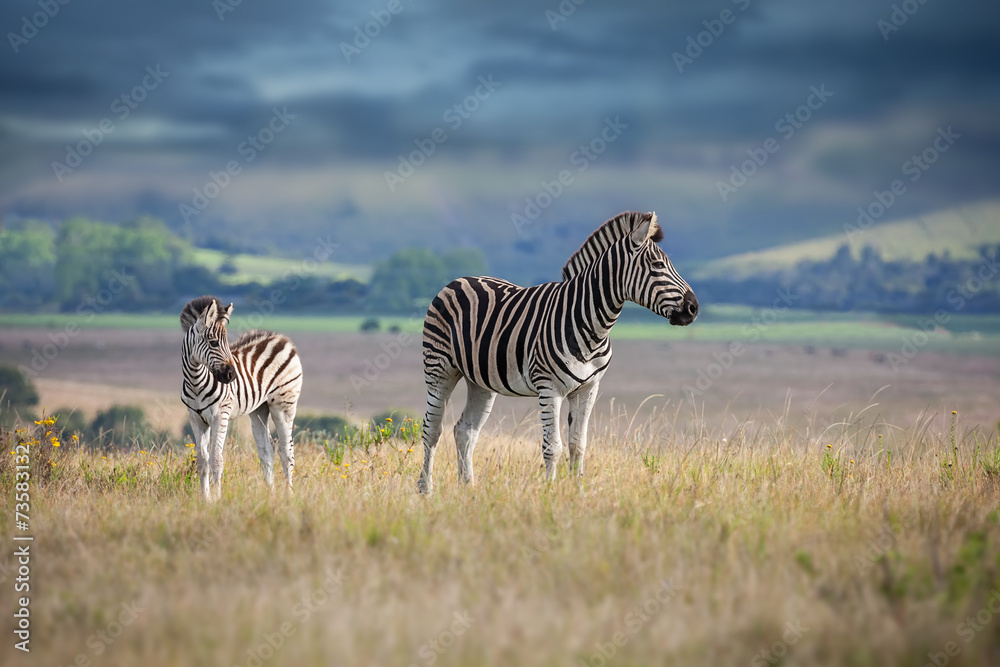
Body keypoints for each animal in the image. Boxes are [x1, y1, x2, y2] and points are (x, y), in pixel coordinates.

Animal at [180, 296, 303, 500]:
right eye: (213, 343)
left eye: (225, 343)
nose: (231, 375)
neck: (196, 382)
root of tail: (282, 339)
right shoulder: (195, 418)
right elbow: (202, 461)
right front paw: (205, 500)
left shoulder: (220, 415)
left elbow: (216, 459)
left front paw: (217, 500)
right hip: (259, 409)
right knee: (266, 450)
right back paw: (270, 494)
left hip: (284, 405)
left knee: (287, 452)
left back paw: (288, 495)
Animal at [417, 211, 698, 494]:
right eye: (657, 265)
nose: (693, 308)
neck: (591, 325)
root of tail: (459, 279)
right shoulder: (549, 388)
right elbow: (553, 447)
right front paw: (549, 493)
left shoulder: (589, 388)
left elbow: (578, 445)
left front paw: (577, 491)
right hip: (439, 369)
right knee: (432, 430)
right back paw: (425, 489)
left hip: (480, 381)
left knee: (465, 430)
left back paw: (468, 488)